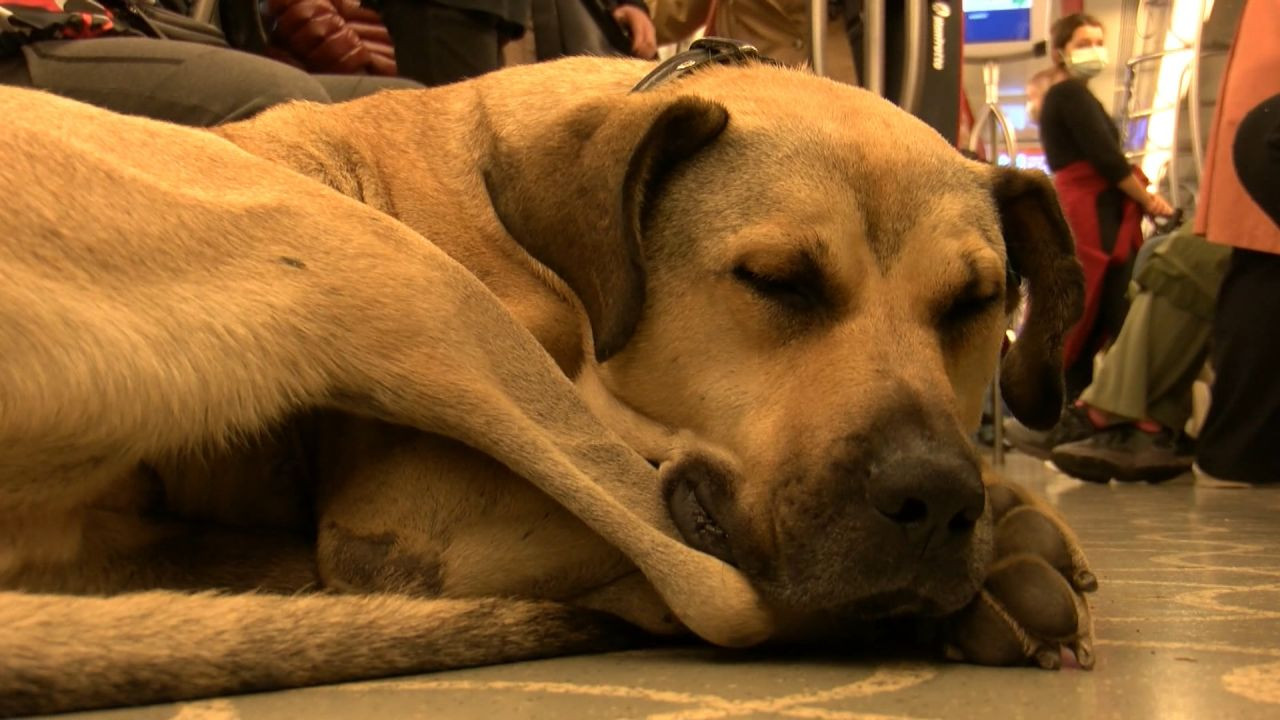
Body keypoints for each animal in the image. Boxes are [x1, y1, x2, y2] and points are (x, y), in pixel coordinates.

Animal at [0, 53, 1090, 712]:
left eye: (975, 303)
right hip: (403, 283)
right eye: (776, 280)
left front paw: (1009, 510)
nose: (936, 499)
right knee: (712, 589)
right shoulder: (416, 512)